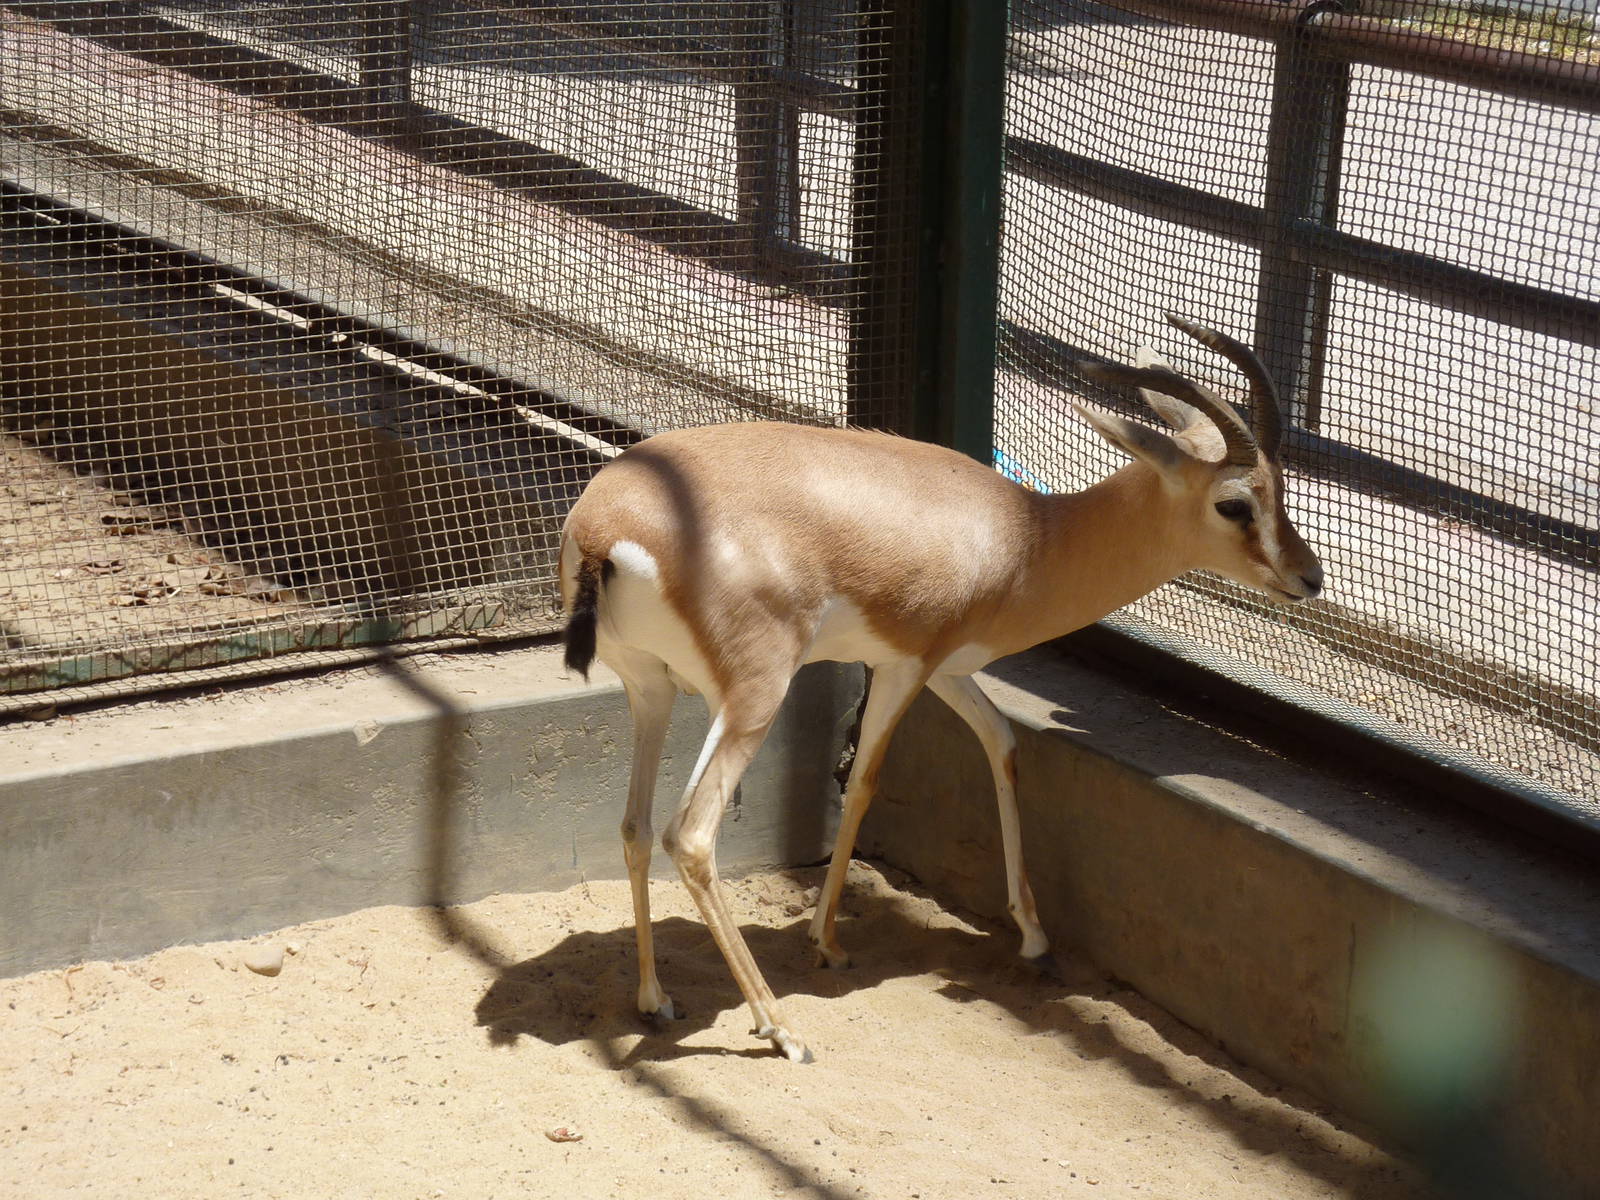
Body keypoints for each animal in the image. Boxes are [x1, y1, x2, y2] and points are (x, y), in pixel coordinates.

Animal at [558, 314, 1323, 1063]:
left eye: (1282, 487)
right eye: (1235, 504)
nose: (1310, 577)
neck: (1028, 537)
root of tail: (607, 526)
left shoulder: (950, 666)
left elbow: (1003, 742)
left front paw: (1034, 938)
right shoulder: (905, 665)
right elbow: (865, 784)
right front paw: (827, 942)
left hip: (650, 690)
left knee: (635, 825)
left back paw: (654, 999)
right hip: (754, 695)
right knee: (690, 836)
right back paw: (782, 1030)